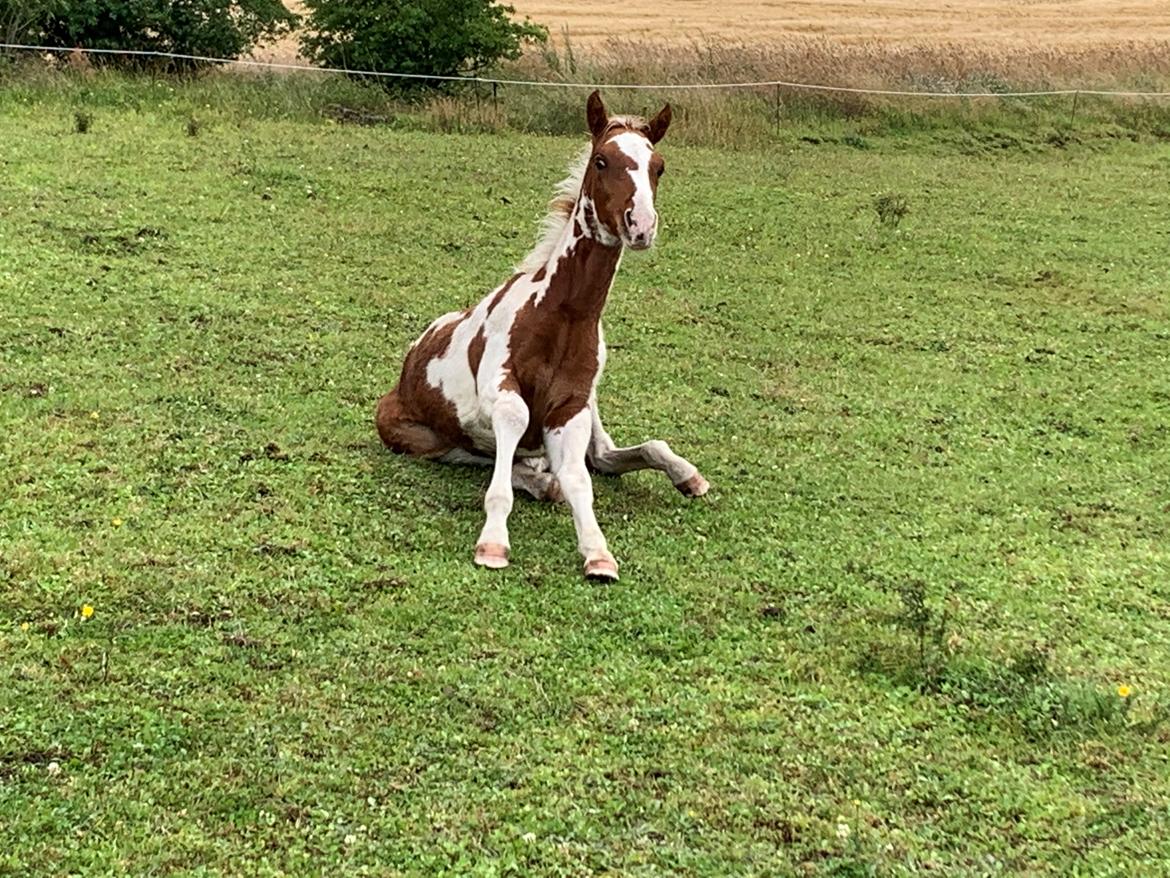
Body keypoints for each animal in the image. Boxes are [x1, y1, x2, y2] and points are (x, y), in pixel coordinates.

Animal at [376, 91, 702, 585]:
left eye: (659, 166)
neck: (561, 315)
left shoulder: (573, 407)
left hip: (593, 415)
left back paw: (686, 476)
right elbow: (512, 438)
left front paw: (598, 555)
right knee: (479, 457)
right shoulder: (502, 392)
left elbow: (580, 478)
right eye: (602, 160)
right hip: (417, 435)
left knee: (605, 456)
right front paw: (493, 543)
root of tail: (410, 359)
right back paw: (535, 479)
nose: (641, 225)